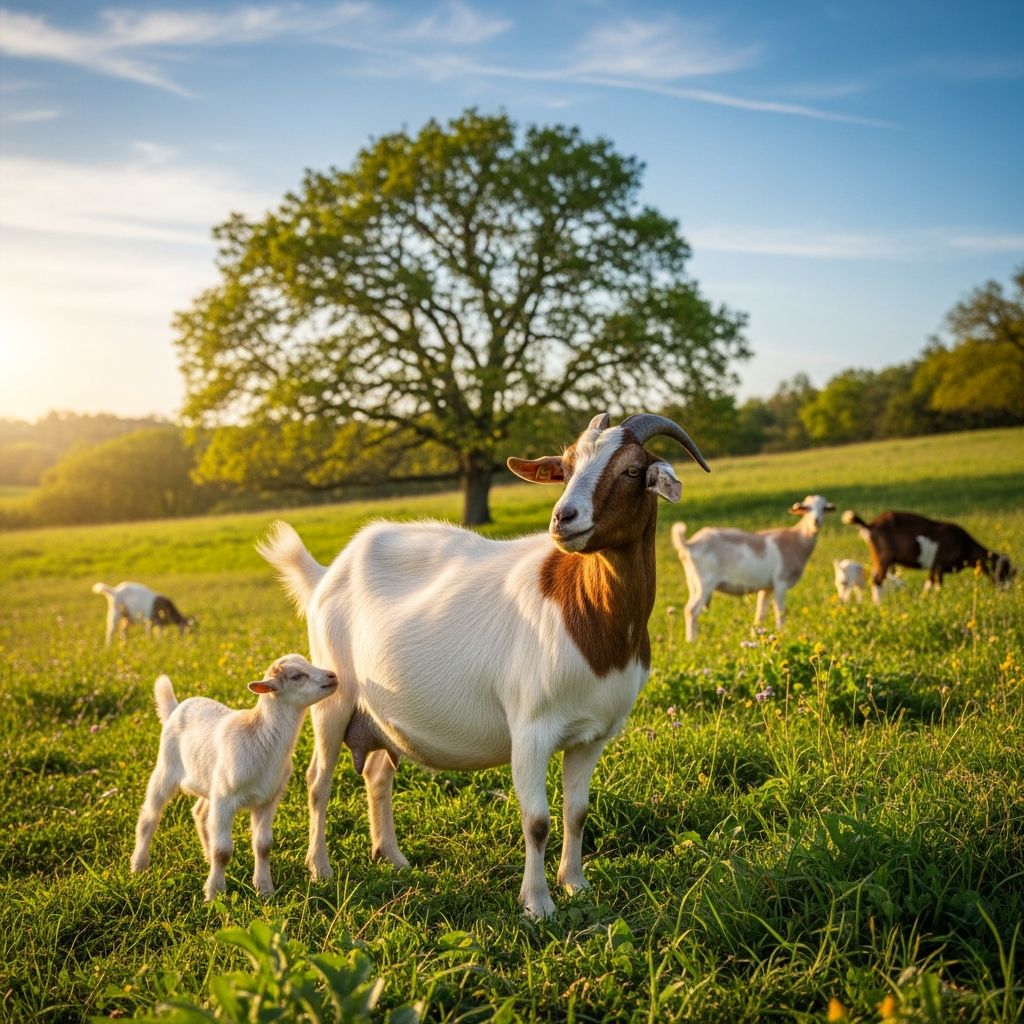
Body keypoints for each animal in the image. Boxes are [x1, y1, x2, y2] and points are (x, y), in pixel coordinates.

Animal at [130, 654, 339, 901]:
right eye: (297, 676)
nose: (333, 676)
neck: (261, 738)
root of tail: (177, 707)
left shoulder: (267, 799)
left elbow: (263, 845)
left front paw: (264, 888)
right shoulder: (225, 799)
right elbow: (223, 851)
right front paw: (213, 894)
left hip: (210, 781)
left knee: (200, 813)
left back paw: (206, 856)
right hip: (166, 768)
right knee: (150, 816)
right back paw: (139, 865)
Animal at [256, 413, 708, 919]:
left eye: (632, 469)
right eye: (567, 467)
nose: (563, 518)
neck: (588, 614)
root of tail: (325, 575)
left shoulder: (592, 736)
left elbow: (577, 812)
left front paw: (575, 883)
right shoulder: (530, 729)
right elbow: (537, 820)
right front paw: (537, 904)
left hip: (379, 716)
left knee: (377, 775)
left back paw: (392, 857)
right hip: (331, 694)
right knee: (318, 781)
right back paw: (321, 869)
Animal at [671, 495, 835, 641]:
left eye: (824, 508)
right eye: (807, 508)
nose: (816, 522)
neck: (797, 540)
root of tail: (689, 544)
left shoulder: (767, 588)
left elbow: (760, 614)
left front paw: (755, 635)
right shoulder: (780, 582)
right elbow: (780, 612)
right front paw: (782, 633)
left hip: (693, 583)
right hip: (705, 583)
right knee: (692, 611)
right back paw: (692, 641)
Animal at [842, 509, 1015, 602]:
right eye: (1003, 572)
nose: (1006, 591)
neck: (966, 546)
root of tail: (869, 525)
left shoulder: (934, 568)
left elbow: (928, 584)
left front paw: (924, 600)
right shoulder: (939, 565)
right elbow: (937, 586)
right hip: (884, 557)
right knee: (877, 580)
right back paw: (879, 603)